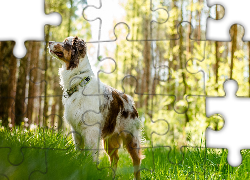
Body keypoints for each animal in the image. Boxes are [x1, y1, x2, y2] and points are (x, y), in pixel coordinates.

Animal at [48, 36, 143, 179]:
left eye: (65, 42)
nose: (49, 42)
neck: (79, 83)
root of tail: (130, 101)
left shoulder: (90, 130)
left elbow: (91, 155)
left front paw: (89, 170)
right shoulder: (76, 130)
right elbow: (79, 152)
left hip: (131, 137)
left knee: (136, 160)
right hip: (110, 141)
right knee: (115, 158)